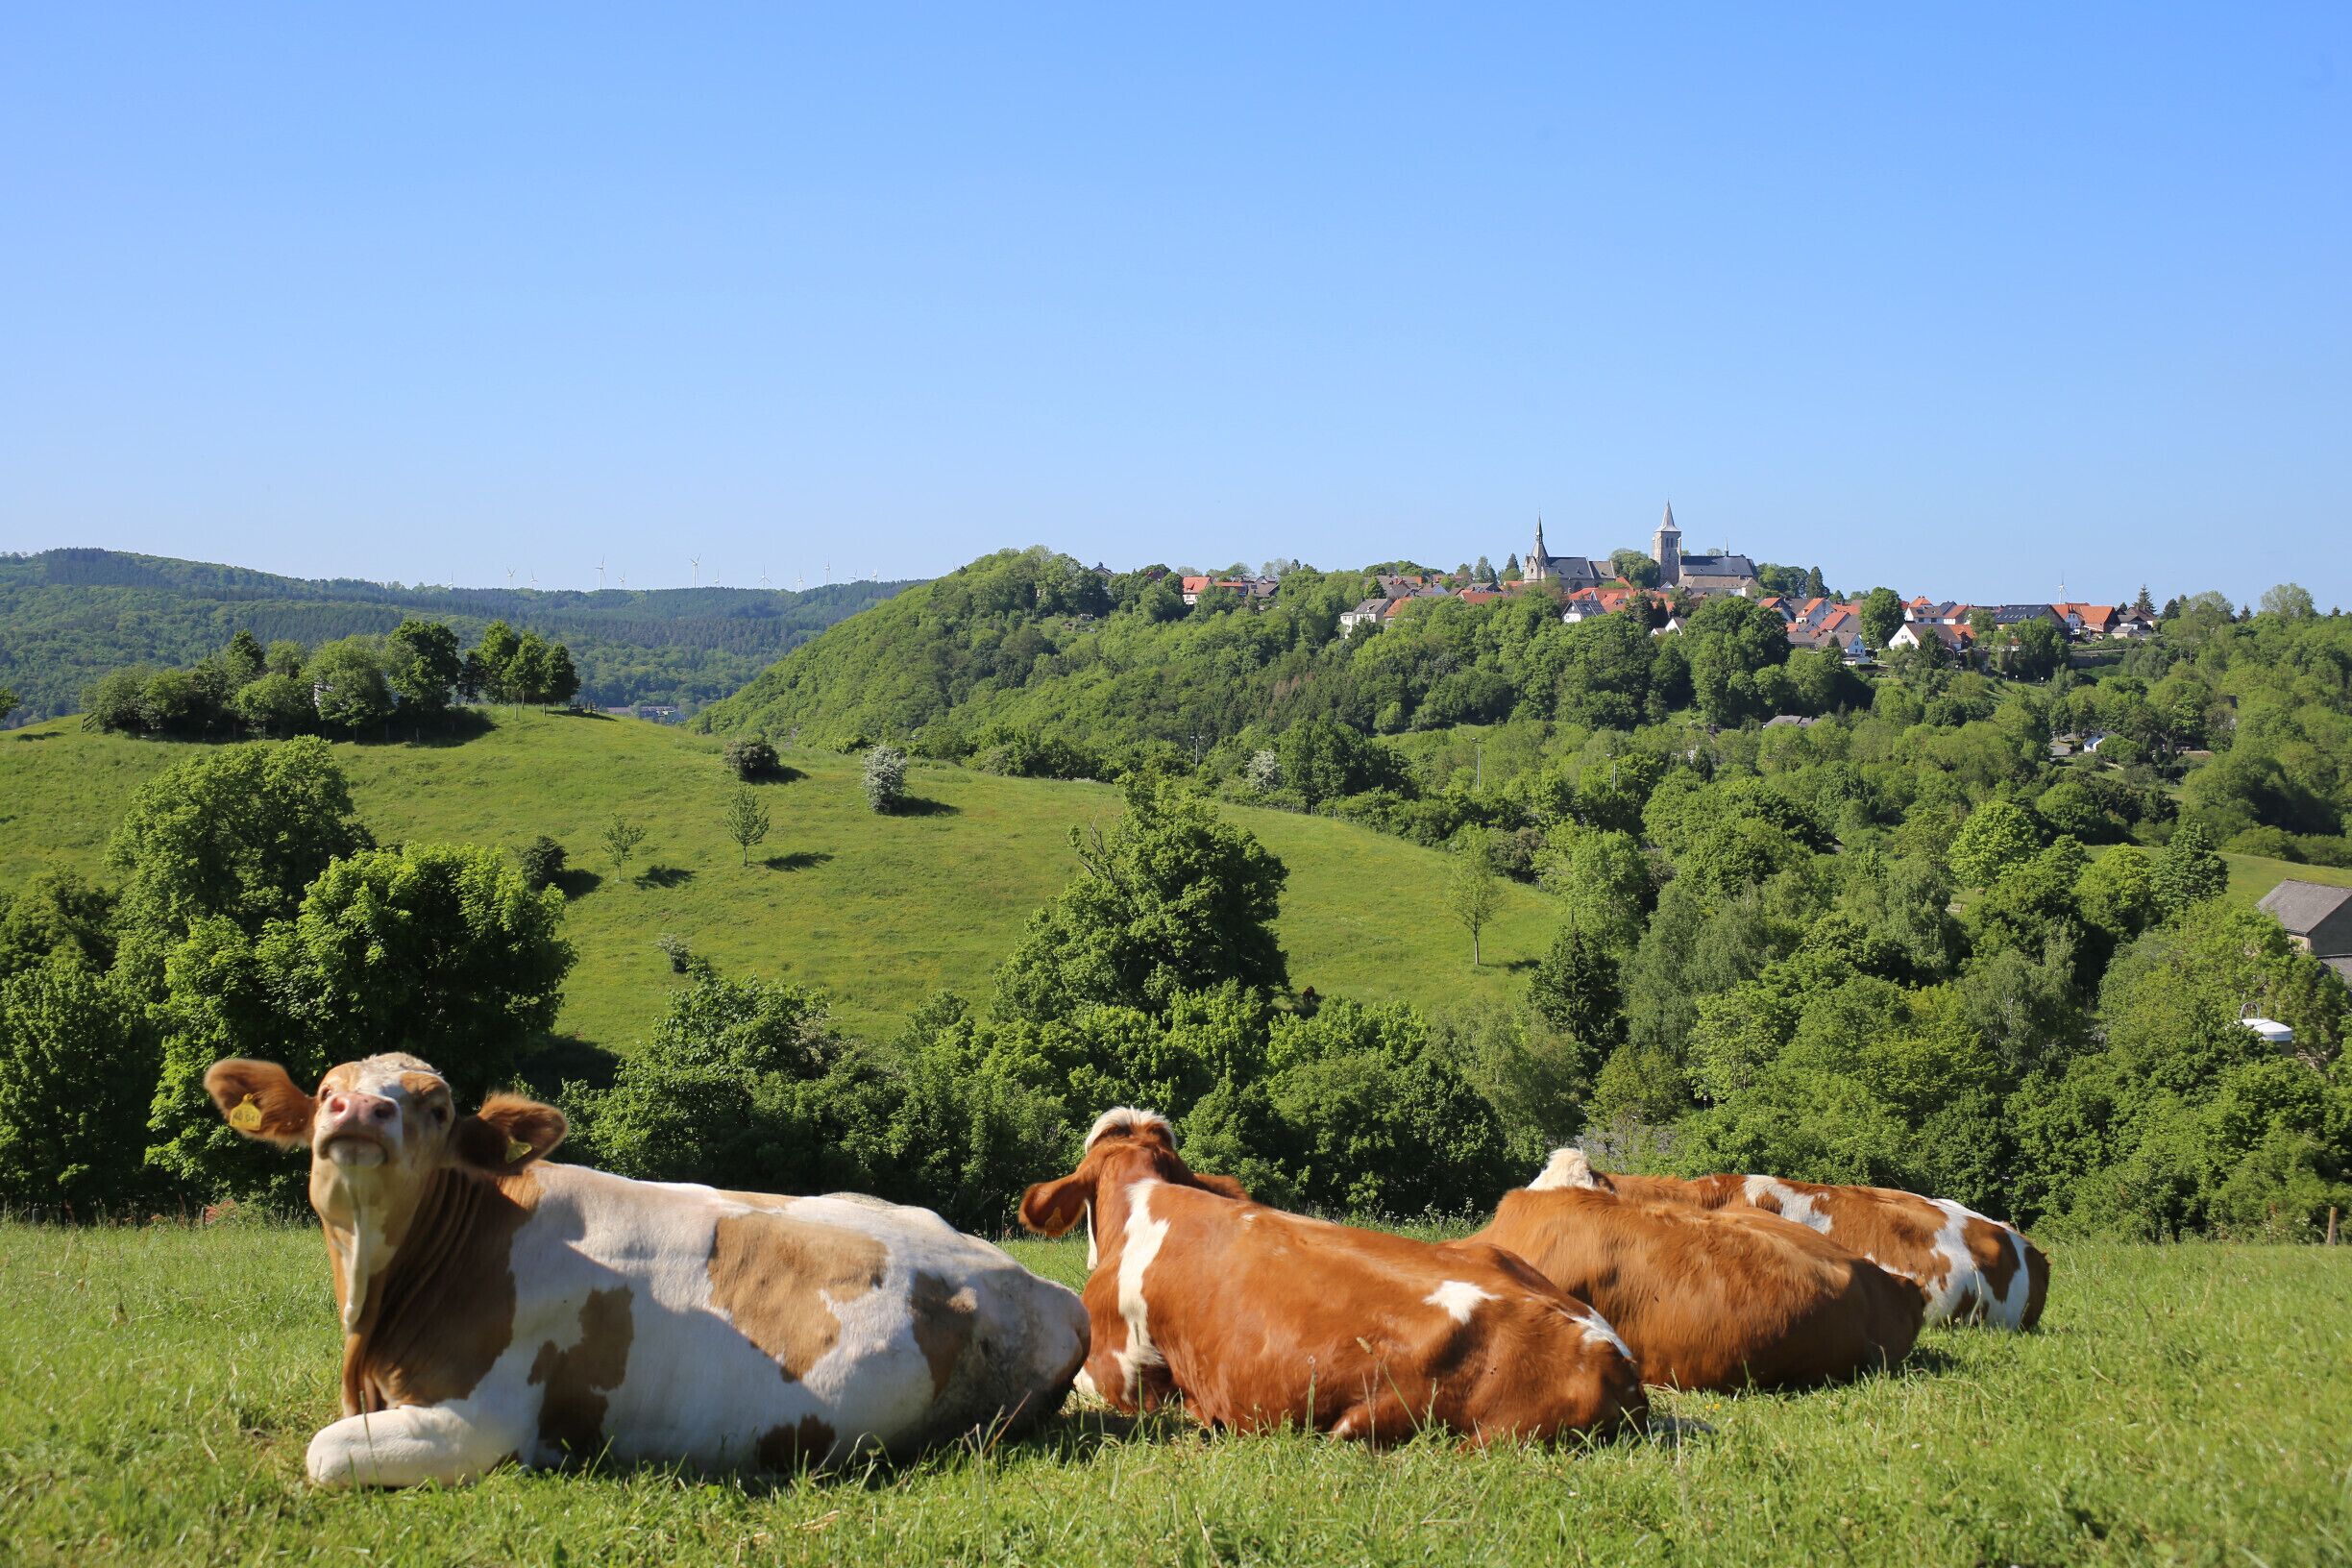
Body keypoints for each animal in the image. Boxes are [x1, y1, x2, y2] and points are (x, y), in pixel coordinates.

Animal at [204, 1054, 1091, 1487]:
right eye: (326, 1088)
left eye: (440, 1106)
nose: (360, 1112)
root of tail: (1046, 1290)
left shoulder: (477, 1422)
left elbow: (323, 1454)